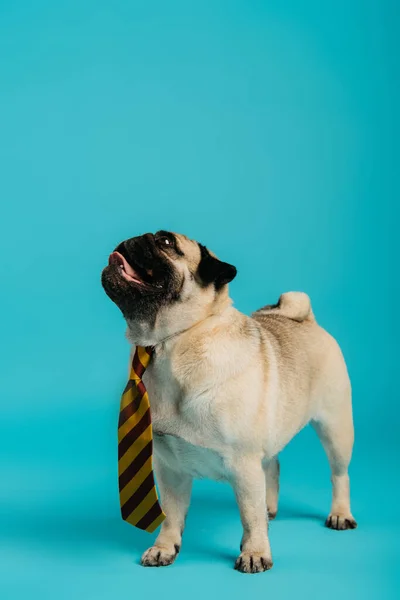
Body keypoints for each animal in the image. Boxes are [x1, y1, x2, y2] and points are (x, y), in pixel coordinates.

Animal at [101, 230, 358, 572]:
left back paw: (340, 513)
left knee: (339, 474)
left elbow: (249, 515)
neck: (171, 343)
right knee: (272, 466)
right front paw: (164, 547)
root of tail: (307, 319)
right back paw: (270, 509)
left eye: (166, 243)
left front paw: (255, 552)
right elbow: (170, 513)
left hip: (336, 427)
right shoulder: (169, 467)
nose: (134, 239)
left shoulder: (243, 462)